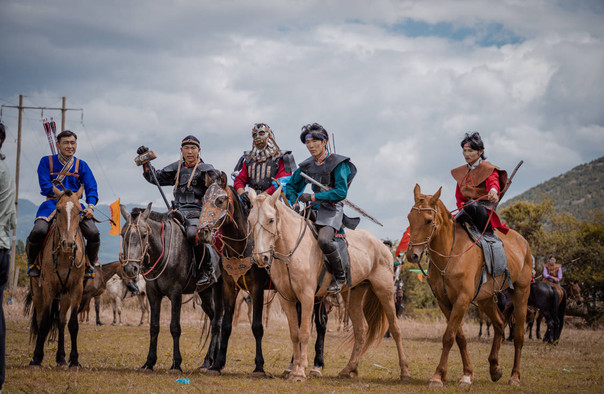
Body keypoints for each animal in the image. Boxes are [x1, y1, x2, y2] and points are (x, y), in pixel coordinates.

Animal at [26, 185, 87, 370]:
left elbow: (72, 323)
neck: (65, 256)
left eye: (80, 211)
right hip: (37, 291)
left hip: (65, 294)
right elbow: (45, 321)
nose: (68, 244)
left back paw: (61, 358)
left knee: (60, 321)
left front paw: (74, 360)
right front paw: (37, 357)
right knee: (40, 319)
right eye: (58, 210)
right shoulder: (48, 287)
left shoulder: (76, 288)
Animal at [119, 205, 223, 370]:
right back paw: (209, 360)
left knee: (218, 321)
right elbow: (154, 326)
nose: (130, 269)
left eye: (144, 235)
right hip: (205, 292)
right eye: (123, 235)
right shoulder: (153, 294)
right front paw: (149, 362)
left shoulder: (176, 293)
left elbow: (175, 327)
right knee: (214, 320)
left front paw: (176, 363)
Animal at [197, 171, 330, 378]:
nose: (203, 232)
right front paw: (217, 364)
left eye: (220, 200)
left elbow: (257, 327)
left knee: (321, 322)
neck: (241, 247)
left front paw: (259, 366)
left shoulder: (256, 289)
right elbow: (225, 325)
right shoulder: (229, 287)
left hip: (317, 295)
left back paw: (316, 365)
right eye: (203, 199)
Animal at [247, 187, 410, 382]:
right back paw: (349, 368)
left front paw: (299, 372)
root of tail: (383, 247)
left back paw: (404, 371)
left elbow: (304, 332)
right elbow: (294, 333)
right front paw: (293, 369)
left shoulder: (307, 297)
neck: (292, 249)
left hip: (384, 290)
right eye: (250, 220)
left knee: (395, 328)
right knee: (361, 329)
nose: (260, 258)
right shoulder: (287, 299)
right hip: (355, 293)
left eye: (271, 219)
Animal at [404, 185, 532, 388]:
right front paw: (467, 374)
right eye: (410, 218)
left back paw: (515, 376)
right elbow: (460, 338)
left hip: (521, 293)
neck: (451, 253)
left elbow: (448, 337)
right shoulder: (445, 302)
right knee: (499, 323)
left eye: (428, 220)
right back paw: (494, 368)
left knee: (518, 336)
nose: (412, 255)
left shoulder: (462, 300)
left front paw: (437, 376)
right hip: (486, 299)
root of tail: (523, 243)